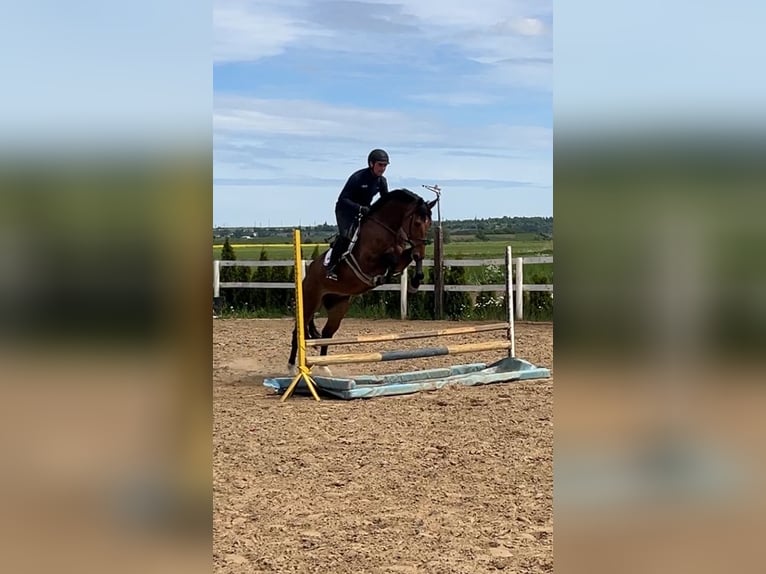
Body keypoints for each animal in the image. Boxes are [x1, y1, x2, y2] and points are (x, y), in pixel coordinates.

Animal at [290, 187, 438, 372]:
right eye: (417, 223)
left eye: (429, 223)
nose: (421, 252)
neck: (385, 228)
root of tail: (308, 273)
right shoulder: (367, 262)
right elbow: (391, 258)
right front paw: (386, 276)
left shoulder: (401, 258)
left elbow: (406, 257)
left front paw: (414, 283)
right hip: (310, 301)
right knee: (298, 330)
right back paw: (291, 367)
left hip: (339, 304)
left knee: (327, 333)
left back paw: (324, 367)